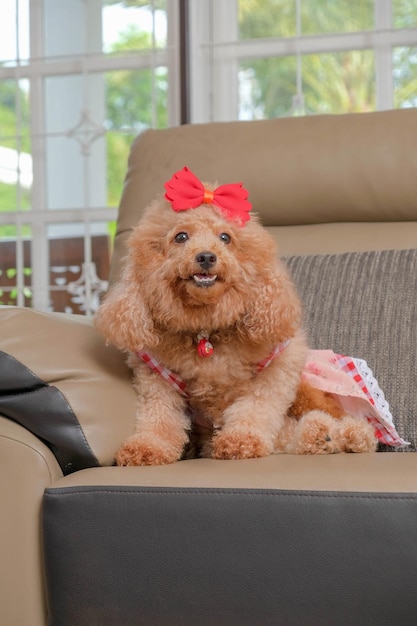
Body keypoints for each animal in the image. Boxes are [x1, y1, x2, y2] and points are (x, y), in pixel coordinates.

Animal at [95, 166, 376, 464]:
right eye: (181, 237)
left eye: (225, 237)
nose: (206, 257)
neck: (206, 330)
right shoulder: (156, 377)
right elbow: (159, 417)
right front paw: (148, 447)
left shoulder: (278, 366)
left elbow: (256, 409)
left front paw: (241, 440)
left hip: (307, 393)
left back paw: (342, 434)